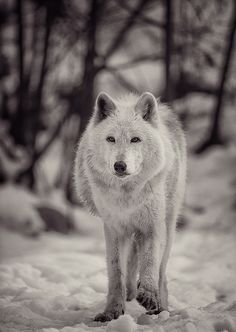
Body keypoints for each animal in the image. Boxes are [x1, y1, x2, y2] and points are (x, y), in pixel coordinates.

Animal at [74, 91, 186, 322]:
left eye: (135, 139)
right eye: (111, 139)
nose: (120, 165)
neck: (127, 196)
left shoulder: (152, 227)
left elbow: (150, 262)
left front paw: (149, 296)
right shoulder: (114, 229)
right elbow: (116, 271)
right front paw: (112, 311)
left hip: (169, 227)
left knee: (161, 271)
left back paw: (161, 307)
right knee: (132, 261)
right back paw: (131, 291)